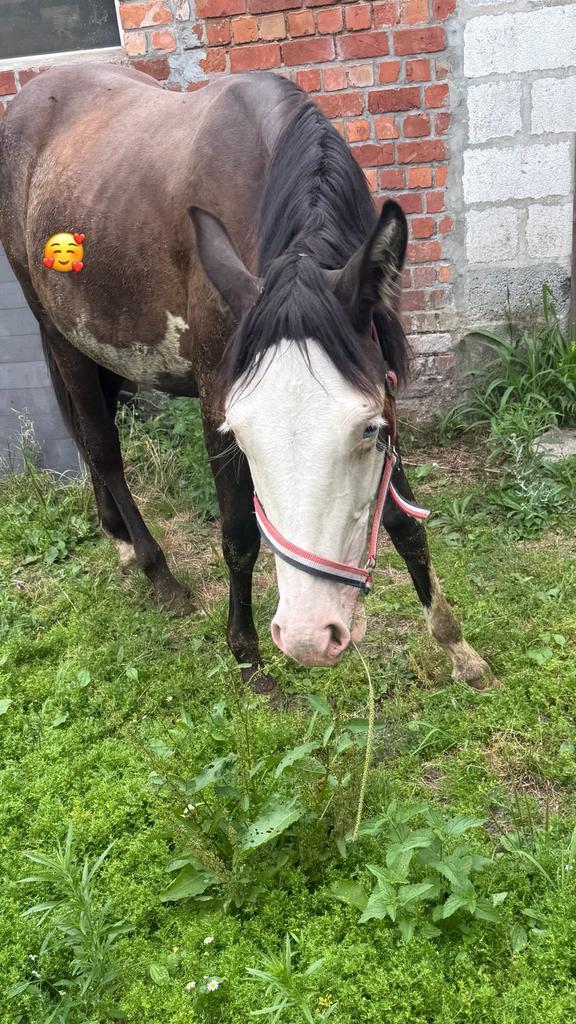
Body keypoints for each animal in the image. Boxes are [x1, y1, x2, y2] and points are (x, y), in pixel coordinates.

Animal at [0, 64, 494, 691]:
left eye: (367, 431)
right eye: (241, 434)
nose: (309, 636)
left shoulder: (378, 390)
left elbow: (406, 526)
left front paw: (458, 648)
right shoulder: (216, 398)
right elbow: (238, 535)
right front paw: (246, 654)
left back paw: (118, 539)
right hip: (61, 337)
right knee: (102, 448)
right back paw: (157, 573)